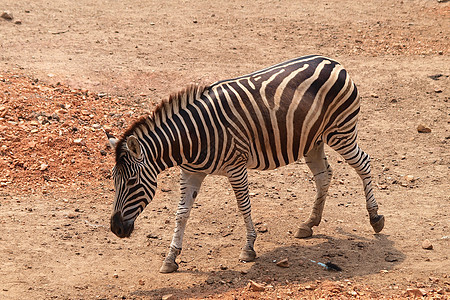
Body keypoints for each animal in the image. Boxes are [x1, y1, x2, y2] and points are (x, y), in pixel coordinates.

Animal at [107, 55, 384, 274]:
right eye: (114, 182)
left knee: (364, 164)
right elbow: (181, 214)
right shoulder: (191, 173)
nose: (116, 228)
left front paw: (249, 248)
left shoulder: (236, 167)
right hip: (312, 140)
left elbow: (243, 206)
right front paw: (171, 258)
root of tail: (333, 61)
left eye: (132, 182)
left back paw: (375, 218)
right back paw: (309, 223)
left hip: (341, 131)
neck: (191, 138)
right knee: (323, 175)